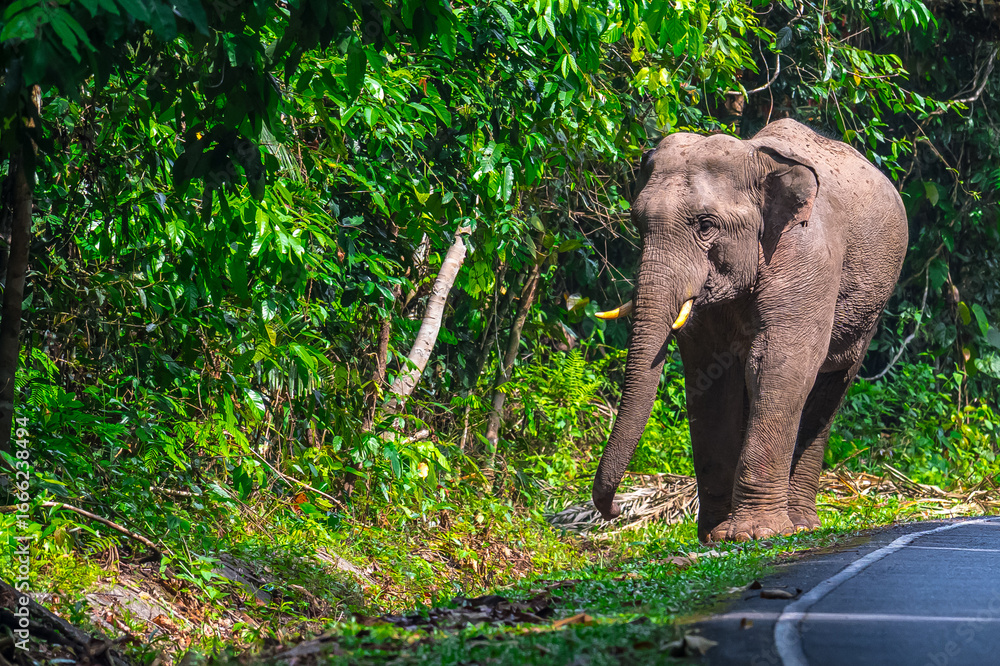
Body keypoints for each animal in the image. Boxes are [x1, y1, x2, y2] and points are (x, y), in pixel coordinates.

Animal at [592, 119, 907, 542]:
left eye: (706, 225)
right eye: (637, 223)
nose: (616, 510)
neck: (757, 159)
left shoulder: (806, 257)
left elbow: (776, 365)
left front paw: (754, 534)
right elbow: (709, 376)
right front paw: (715, 535)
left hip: (870, 309)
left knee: (830, 388)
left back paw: (801, 525)